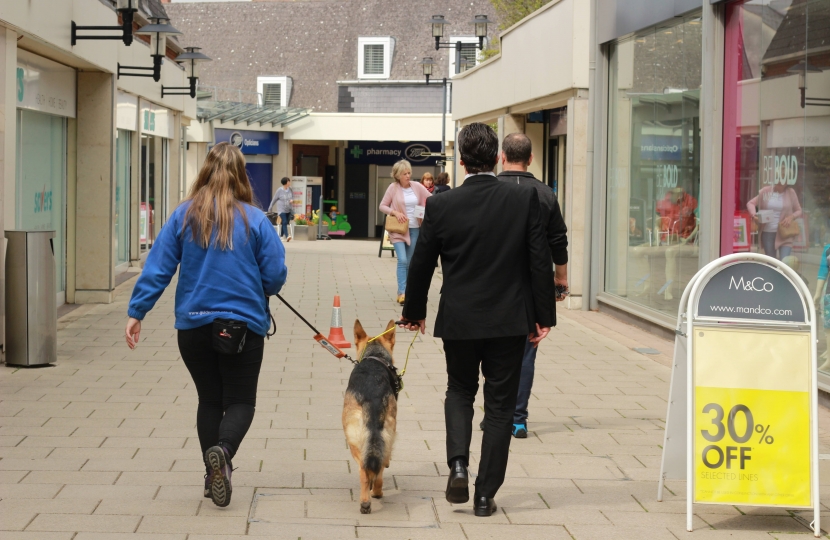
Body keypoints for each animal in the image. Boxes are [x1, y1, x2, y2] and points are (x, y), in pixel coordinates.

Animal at [342, 320, 400, 516]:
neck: (375, 356)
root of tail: (372, 397)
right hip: (386, 434)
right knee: (377, 467)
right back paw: (374, 494)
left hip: (355, 441)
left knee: (365, 471)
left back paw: (370, 498)